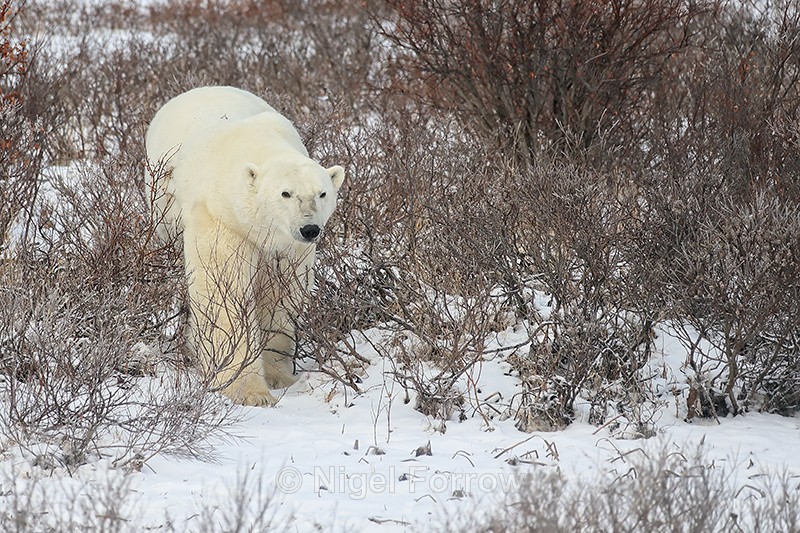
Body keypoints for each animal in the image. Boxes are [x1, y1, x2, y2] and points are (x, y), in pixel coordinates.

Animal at [145, 86, 345, 406]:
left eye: (322, 193)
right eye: (286, 193)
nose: (310, 229)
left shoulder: (287, 246)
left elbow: (282, 294)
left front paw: (279, 375)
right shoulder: (222, 219)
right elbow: (225, 292)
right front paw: (249, 391)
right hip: (161, 206)